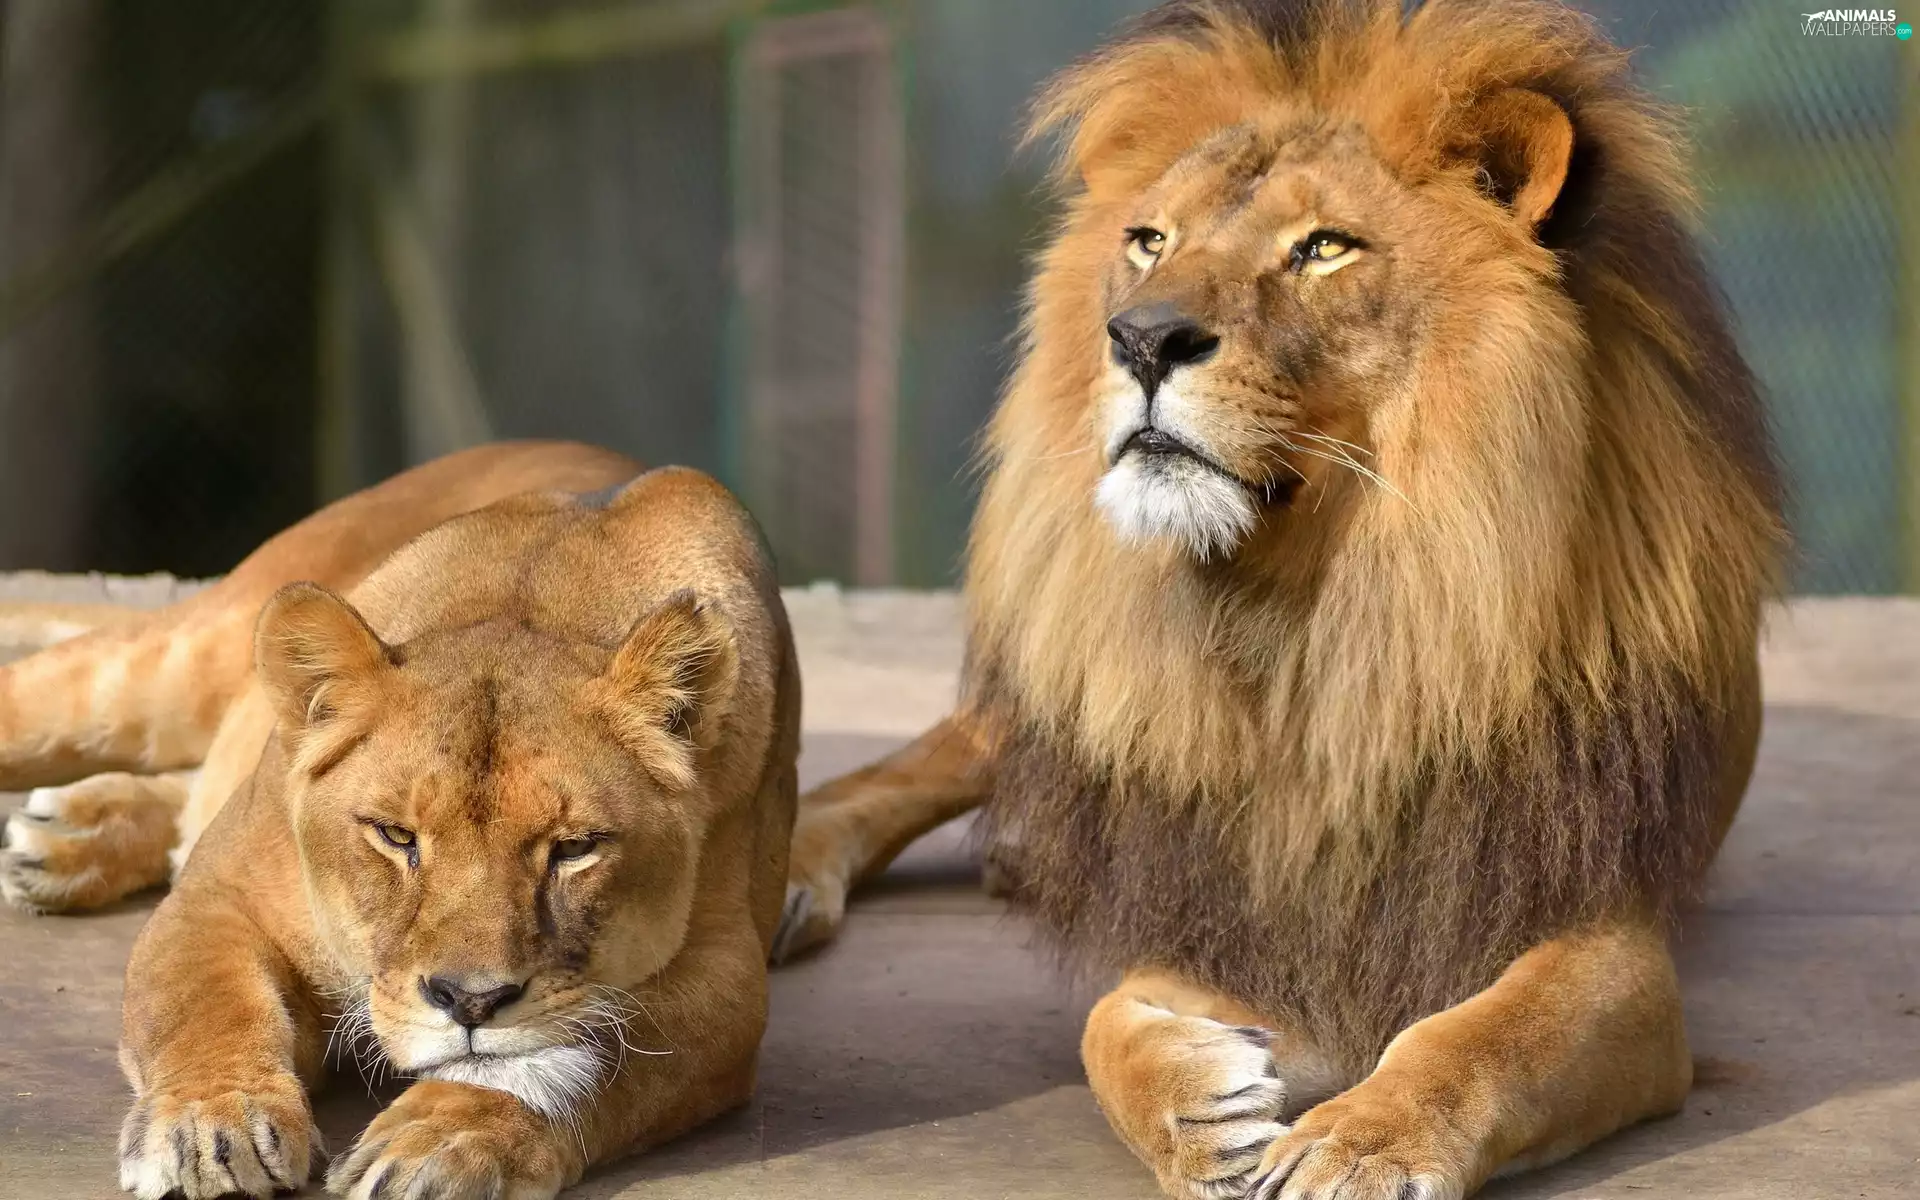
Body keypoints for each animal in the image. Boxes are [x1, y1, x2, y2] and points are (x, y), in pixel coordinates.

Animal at [0, 443, 801, 1200]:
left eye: (575, 849)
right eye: (395, 836)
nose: (470, 1001)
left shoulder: (728, 977)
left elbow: (590, 1054)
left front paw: (446, 1140)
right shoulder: (219, 895)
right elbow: (205, 1004)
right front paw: (210, 1127)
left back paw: (64, 838)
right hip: (161, 672)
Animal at [779, 2, 1785, 1198]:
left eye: (1323, 248)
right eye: (1149, 242)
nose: (1141, 338)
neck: (1301, 616)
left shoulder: (1604, 936)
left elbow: (1484, 1035)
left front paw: (1364, 1143)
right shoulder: (1226, 901)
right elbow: (1107, 1025)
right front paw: (1200, 1114)